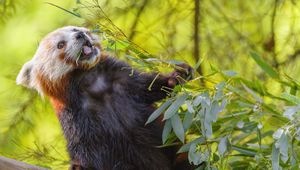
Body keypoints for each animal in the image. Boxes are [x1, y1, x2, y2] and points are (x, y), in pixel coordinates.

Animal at [16, 25, 193, 169]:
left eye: (74, 29)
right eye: (60, 45)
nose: (80, 34)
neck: (94, 84)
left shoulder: (123, 80)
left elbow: (148, 87)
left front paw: (175, 77)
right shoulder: (78, 119)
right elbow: (87, 150)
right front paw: (80, 167)